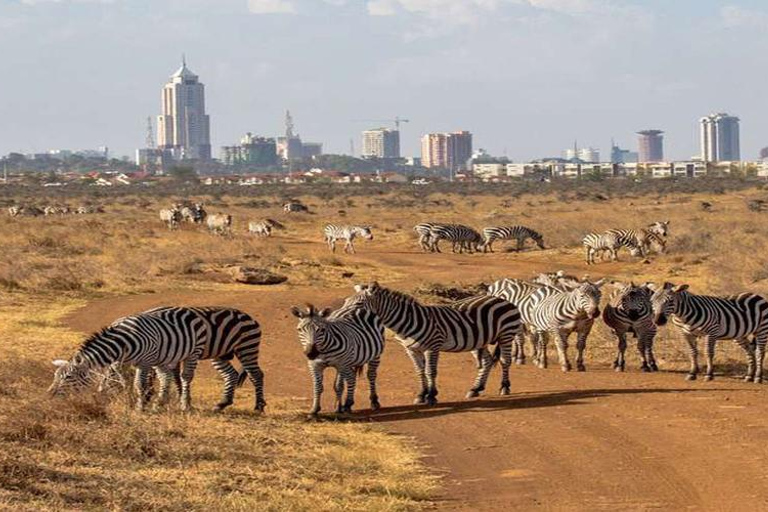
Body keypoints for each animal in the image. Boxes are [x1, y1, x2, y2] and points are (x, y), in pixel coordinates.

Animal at [72, 308, 268, 412]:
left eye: (111, 381)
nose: (99, 399)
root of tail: (250, 317)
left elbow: (170, 377)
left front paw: (167, 399)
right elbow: (167, 377)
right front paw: (158, 398)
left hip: (246, 348)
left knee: (256, 374)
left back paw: (259, 406)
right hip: (219, 354)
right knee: (231, 374)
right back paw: (222, 403)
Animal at [352, 282, 520, 406]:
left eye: (359, 303)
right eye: (348, 301)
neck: (409, 321)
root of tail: (502, 299)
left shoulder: (432, 346)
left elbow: (430, 371)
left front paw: (431, 396)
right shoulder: (411, 350)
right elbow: (420, 371)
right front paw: (421, 394)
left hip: (506, 335)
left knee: (505, 361)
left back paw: (504, 387)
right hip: (480, 340)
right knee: (487, 361)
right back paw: (476, 389)